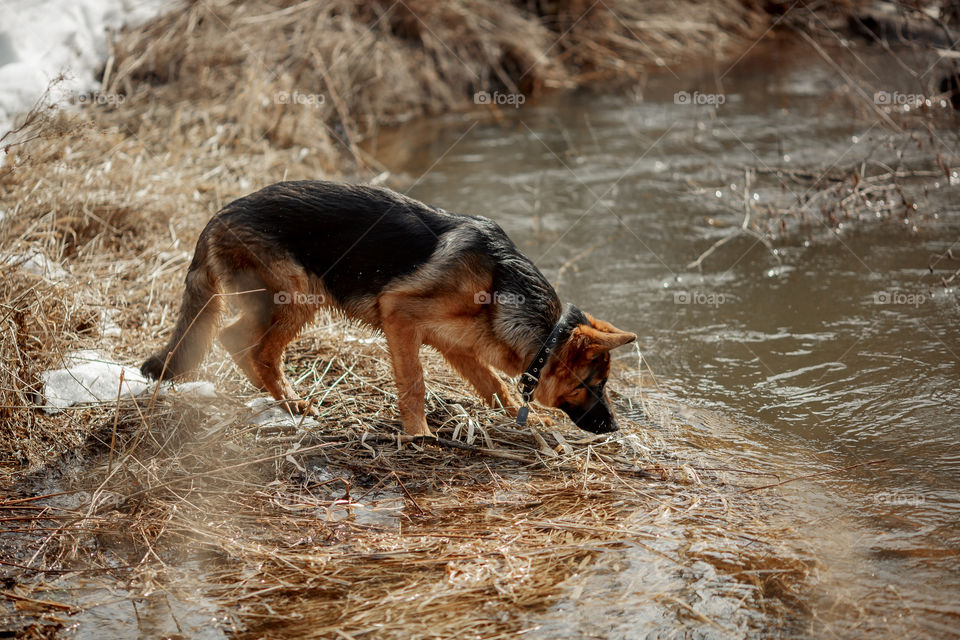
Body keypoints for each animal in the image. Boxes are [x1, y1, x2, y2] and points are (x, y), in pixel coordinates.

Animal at [141, 182, 636, 438]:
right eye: (594, 385)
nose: (613, 427)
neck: (501, 284)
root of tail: (218, 214)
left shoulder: (459, 347)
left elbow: (495, 387)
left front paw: (523, 420)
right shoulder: (400, 317)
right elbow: (414, 384)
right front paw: (419, 436)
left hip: (287, 300)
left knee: (237, 339)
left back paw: (279, 399)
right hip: (299, 295)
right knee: (251, 345)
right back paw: (290, 401)